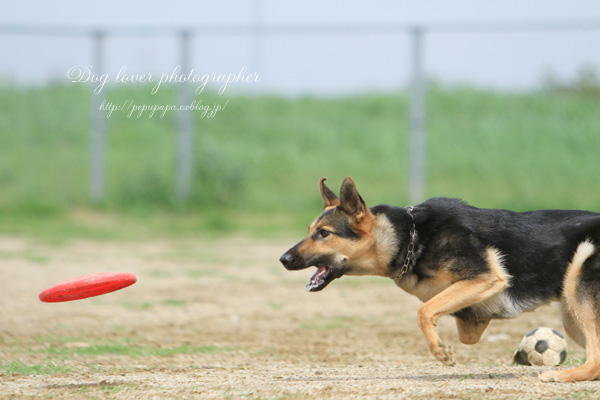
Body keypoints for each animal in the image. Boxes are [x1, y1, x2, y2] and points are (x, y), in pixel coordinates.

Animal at [278, 177, 600, 382]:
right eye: (310, 231)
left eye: (324, 234)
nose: (283, 259)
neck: (411, 237)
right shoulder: (473, 309)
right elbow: (459, 324)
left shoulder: (484, 278)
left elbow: (425, 311)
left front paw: (439, 351)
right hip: (571, 317)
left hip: (578, 292)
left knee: (594, 361)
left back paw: (560, 375)